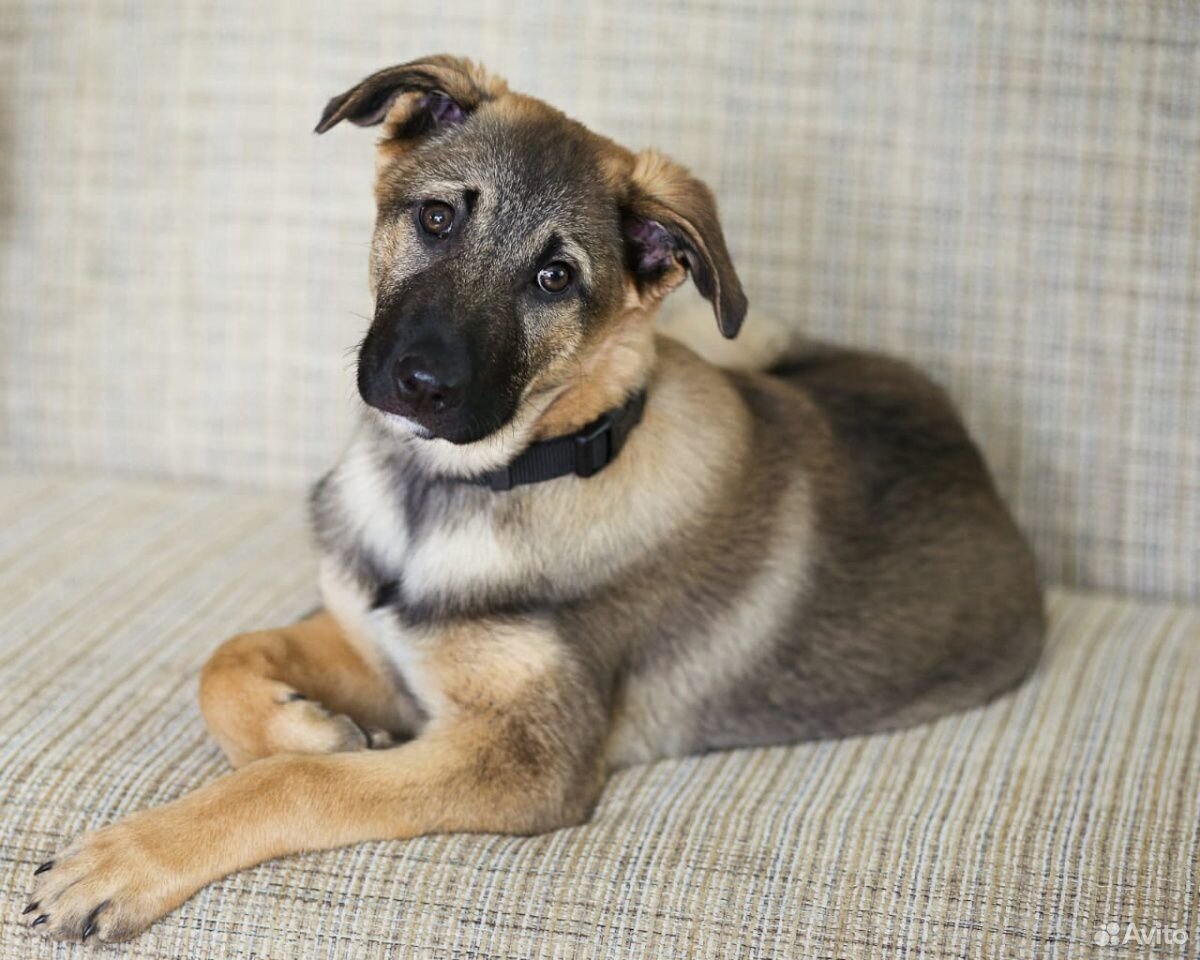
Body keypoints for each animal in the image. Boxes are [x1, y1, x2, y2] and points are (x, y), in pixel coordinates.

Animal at [25, 56, 1041, 940]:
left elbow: (296, 786)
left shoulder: (521, 759)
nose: (421, 384)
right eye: (437, 217)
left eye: (554, 278)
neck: (447, 491)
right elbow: (227, 656)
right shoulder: (379, 648)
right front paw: (304, 725)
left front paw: (132, 857)